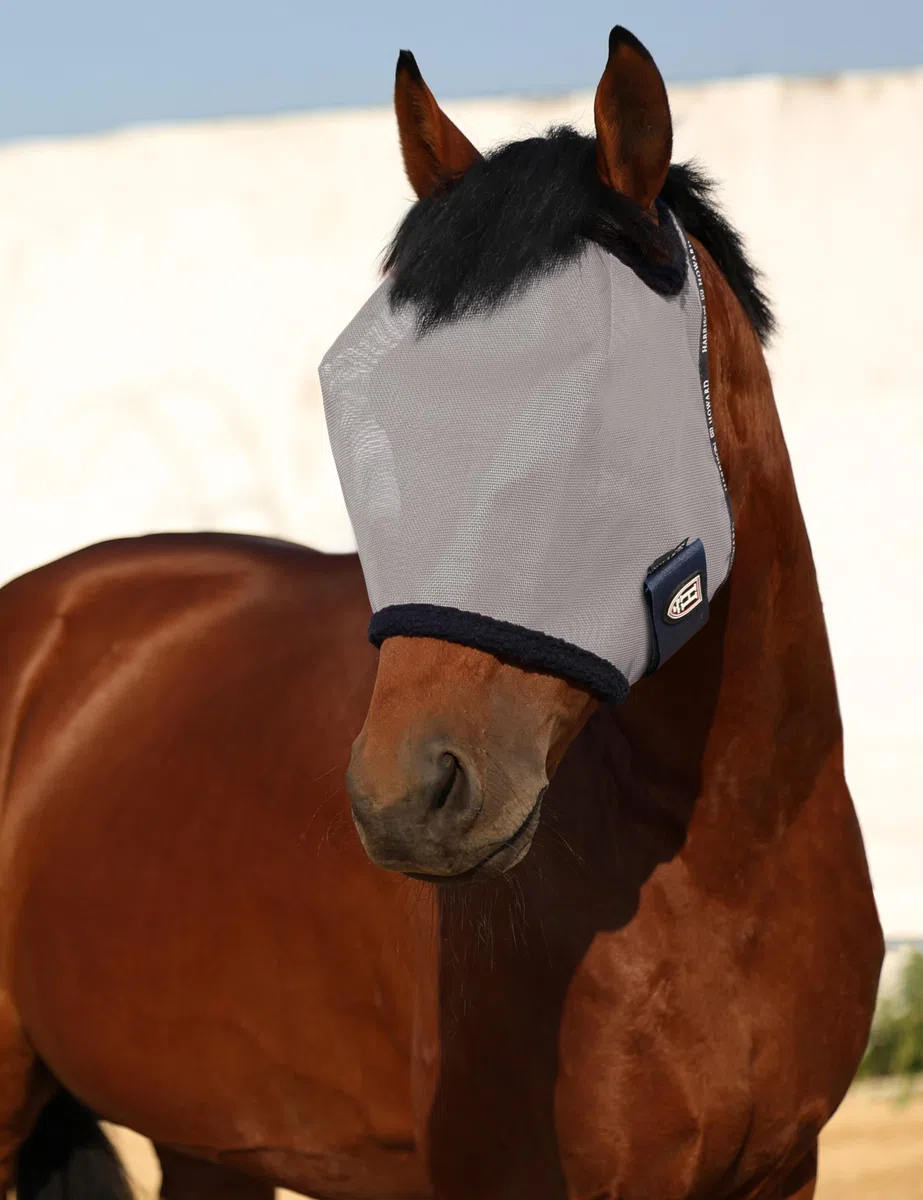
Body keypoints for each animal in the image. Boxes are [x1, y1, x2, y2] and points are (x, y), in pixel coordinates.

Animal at [0, 26, 882, 1200]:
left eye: (599, 409)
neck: (732, 859)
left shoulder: (780, 1172)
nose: (404, 796)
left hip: (208, 1142)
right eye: (370, 407)